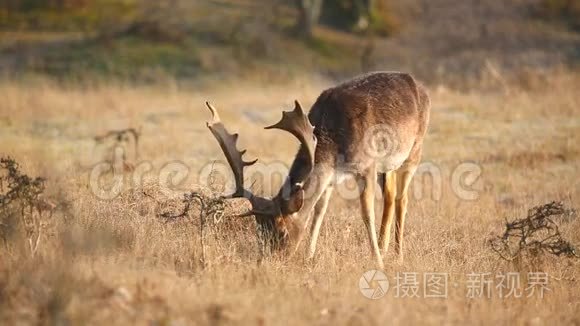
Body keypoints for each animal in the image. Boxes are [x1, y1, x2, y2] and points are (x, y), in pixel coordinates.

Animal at [203, 72, 426, 268]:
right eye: (259, 231)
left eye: (282, 232)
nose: (269, 261)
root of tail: (419, 84)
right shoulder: (332, 178)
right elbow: (319, 211)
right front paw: (309, 256)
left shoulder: (367, 165)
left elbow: (367, 213)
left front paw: (377, 261)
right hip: (387, 167)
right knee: (390, 194)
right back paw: (385, 247)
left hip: (414, 151)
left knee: (402, 198)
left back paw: (397, 254)